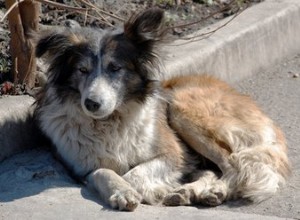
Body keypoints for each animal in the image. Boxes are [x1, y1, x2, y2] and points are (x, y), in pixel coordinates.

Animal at [34, 9, 290, 211]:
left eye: (115, 68)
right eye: (82, 70)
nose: (91, 104)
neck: (110, 121)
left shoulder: (173, 153)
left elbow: (134, 173)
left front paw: (138, 189)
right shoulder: (80, 168)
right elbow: (103, 172)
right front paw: (122, 191)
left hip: (181, 109)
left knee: (232, 163)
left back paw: (214, 190)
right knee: (213, 169)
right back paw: (187, 192)